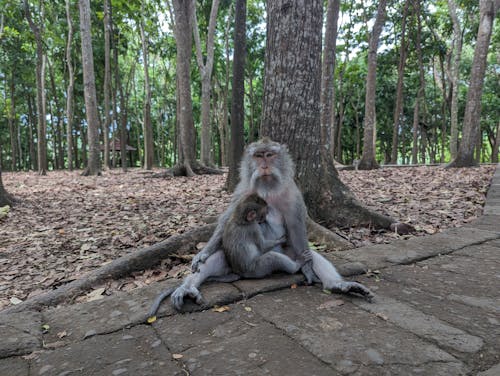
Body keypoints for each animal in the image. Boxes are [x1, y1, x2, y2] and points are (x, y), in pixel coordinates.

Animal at [172, 138, 372, 308]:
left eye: (269, 155)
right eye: (258, 155)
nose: (264, 165)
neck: (267, 186)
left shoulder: (292, 192)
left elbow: (296, 226)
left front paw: (309, 271)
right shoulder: (243, 190)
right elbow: (227, 222)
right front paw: (202, 253)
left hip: (289, 253)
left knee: (309, 255)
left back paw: (336, 284)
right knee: (216, 258)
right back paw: (188, 288)